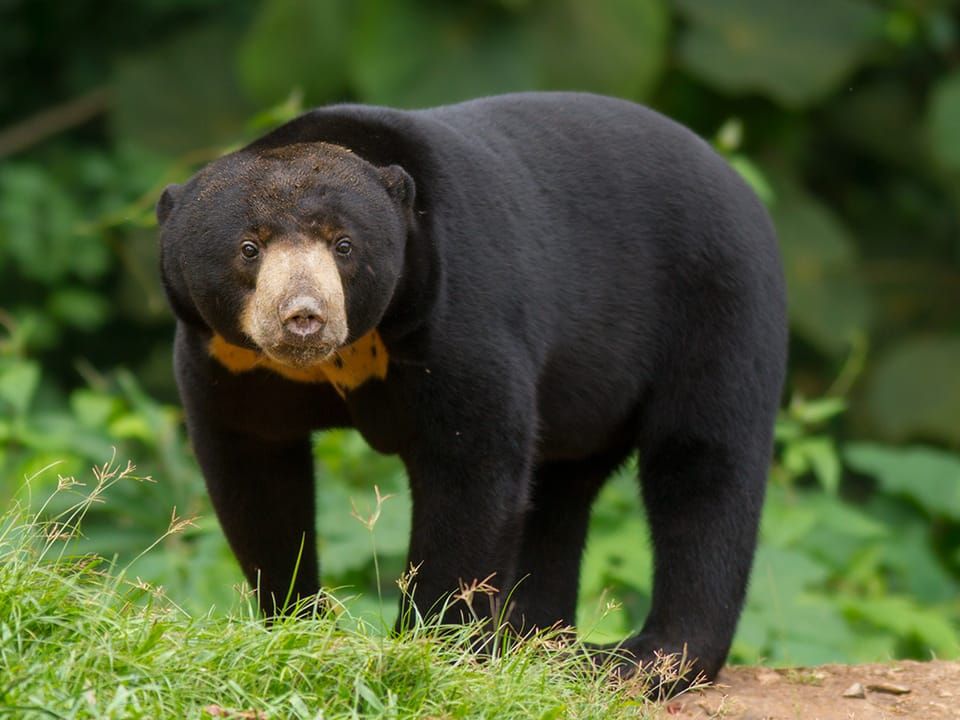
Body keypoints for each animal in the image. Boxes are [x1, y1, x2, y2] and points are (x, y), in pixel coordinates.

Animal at [156, 91, 787, 690]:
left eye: (343, 245)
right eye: (249, 247)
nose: (304, 318)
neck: (351, 350)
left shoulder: (460, 308)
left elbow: (471, 464)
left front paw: (431, 647)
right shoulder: (229, 360)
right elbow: (255, 472)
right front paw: (297, 624)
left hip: (716, 303)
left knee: (702, 466)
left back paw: (645, 660)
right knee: (560, 489)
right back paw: (536, 640)